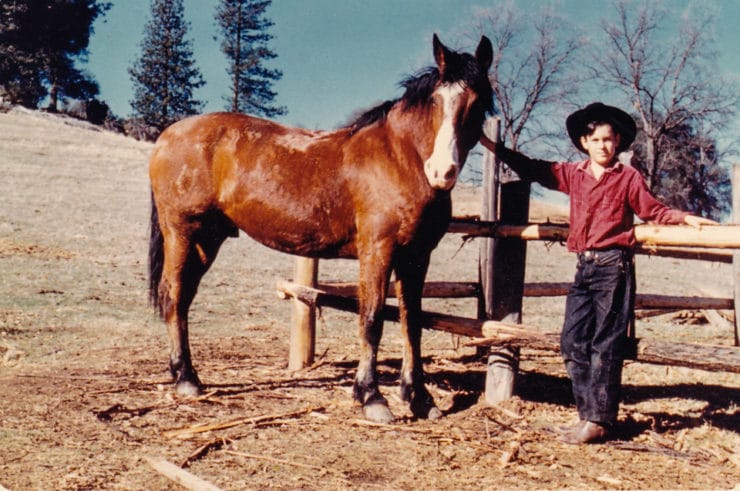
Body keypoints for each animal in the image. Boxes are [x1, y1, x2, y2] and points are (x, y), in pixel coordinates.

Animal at [149, 36, 492, 424]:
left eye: (477, 104)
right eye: (435, 100)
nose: (442, 172)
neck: (400, 157)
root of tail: (167, 136)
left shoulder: (416, 257)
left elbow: (413, 322)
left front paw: (418, 397)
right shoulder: (379, 250)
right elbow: (372, 319)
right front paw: (371, 396)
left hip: (207, 239)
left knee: (184, 297)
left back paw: (185, 374)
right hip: (182, 232)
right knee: (175, 295)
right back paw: (186, 379)